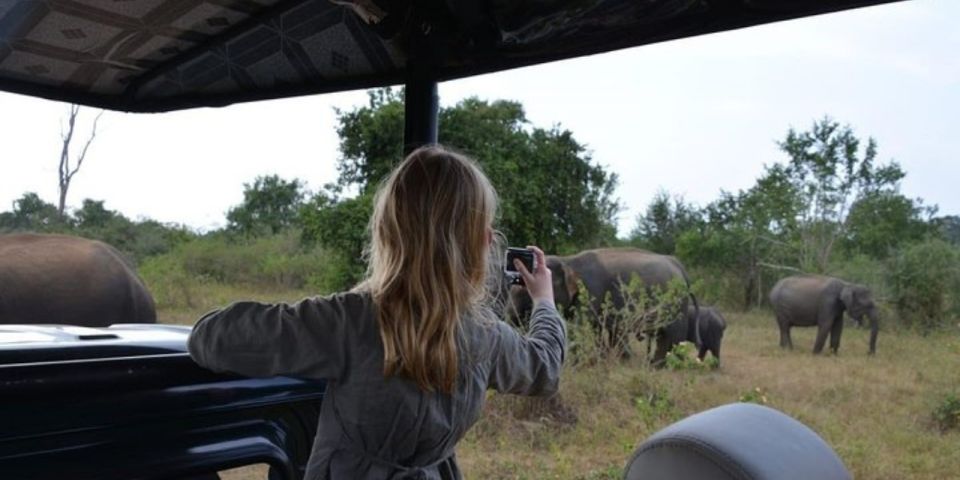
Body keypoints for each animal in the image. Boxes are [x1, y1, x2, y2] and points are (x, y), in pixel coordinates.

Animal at [506, 248, 700, 364]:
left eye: (524, 289)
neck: (568, 260)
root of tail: (678, 265)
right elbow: (597, 329)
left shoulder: (592, 291)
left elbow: (581, 327)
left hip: (676, 303)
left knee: (672, 336)